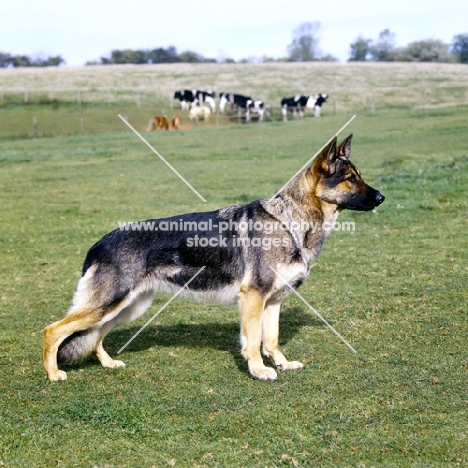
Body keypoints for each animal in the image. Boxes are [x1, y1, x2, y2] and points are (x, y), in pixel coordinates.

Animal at [43, 133, 384, 382]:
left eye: (359, 176)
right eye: (350, 179)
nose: (382, 197)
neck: (290, 221)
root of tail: (99, 243)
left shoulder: (273, 301)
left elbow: (272, 340)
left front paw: (282, 364)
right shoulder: (253, 299)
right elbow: (254, 341)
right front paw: (259, 371)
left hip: (127, 307)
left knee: (96, 336)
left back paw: (108, 364)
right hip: (109, 304)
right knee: (53, 330)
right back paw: (54, 374)